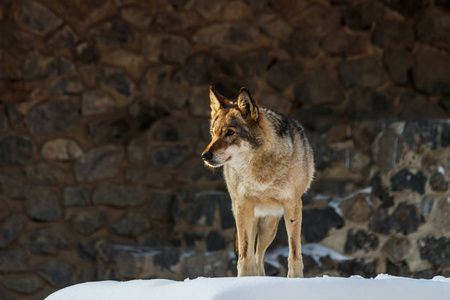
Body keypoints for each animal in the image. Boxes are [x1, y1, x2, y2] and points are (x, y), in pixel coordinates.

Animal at [202, 86, 314, 276]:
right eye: (213, 133)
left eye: (230, 133)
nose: (205, 156)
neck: (259, 172)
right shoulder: (243, 205)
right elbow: (244, 254)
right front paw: (245, 278)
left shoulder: (293, 204)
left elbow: (294, 252)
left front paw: (295, 278)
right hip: (248, 219)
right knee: (253, 255)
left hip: (270, 226)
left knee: (259, 256)